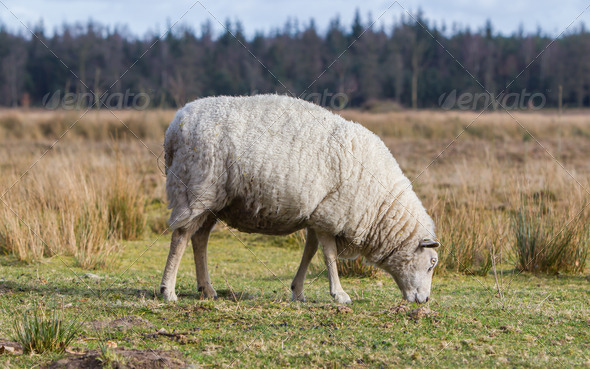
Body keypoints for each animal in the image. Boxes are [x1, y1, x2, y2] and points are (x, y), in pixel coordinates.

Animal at [160, 93, 442, 304]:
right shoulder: (332, 214)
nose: (425, 300)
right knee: (181, 235)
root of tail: (174, 128)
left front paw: (298, 290)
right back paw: (168, 290)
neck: (381, 208)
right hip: (195, 188)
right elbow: (329, 256)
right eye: (431, 263)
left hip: (215, 200)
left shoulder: (318, 214)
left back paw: (206, 289)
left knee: (199, 238)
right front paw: (339, 294)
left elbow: (310, 252)